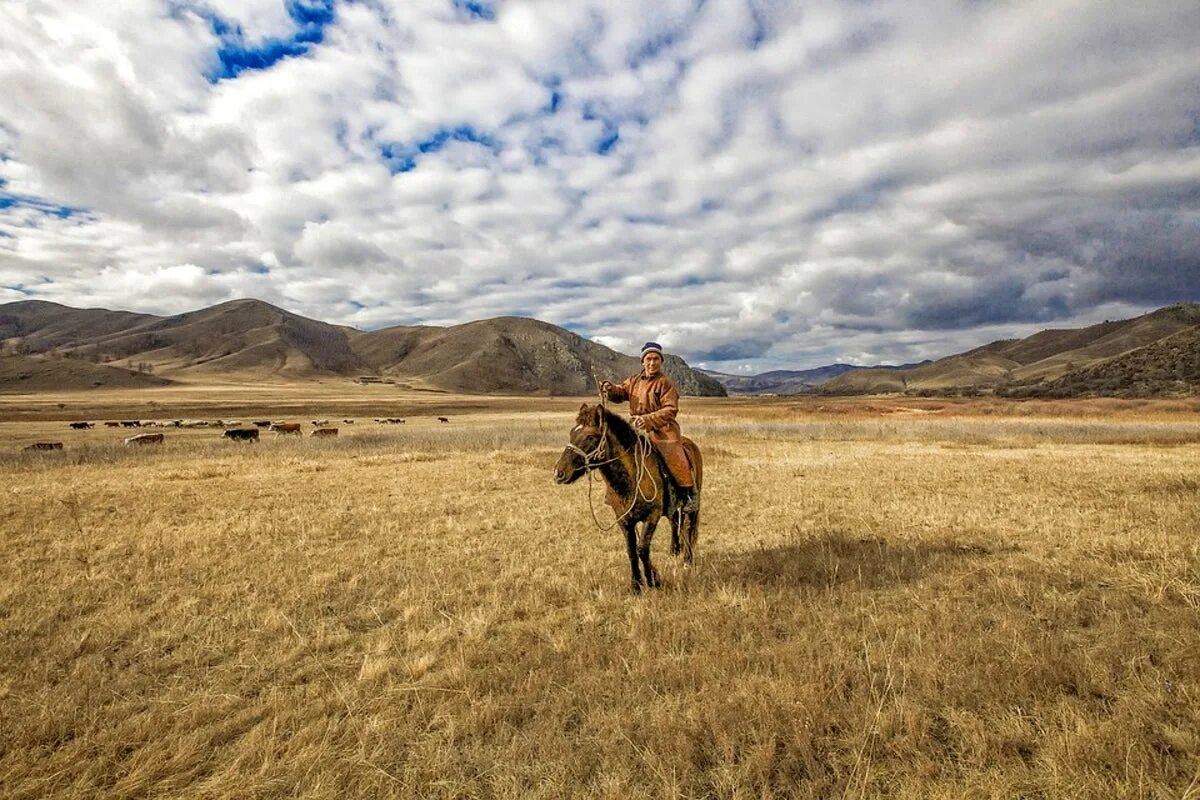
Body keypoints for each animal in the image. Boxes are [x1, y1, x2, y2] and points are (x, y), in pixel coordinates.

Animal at [554, 402, 700, 592]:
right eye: (572, 433)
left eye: (590, 437)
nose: (559, 473)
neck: (631, 477)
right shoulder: (623, 519)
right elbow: (631, 550)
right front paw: (636, 585)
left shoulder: (652, 516)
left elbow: (642, 548)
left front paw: (653, 581)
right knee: (675, 521)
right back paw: (674, 551)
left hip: (692, 505)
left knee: (689, 528)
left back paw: (687, 561)